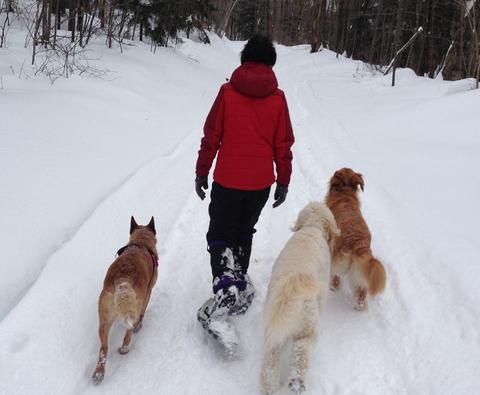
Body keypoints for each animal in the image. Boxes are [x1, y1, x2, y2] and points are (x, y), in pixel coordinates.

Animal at [90, 218, 158, 386]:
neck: (140, 244)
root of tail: (122, 283)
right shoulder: (148, 292)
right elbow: (143, 313)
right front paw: (140, 326)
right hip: (133, 308)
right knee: (129, 332)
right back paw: (125, 348)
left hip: (104, 317)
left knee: (104, 347)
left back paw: (99, 373)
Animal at [260, 203, 340, 394]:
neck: (312, 227)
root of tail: (290, 294)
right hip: (308, 330)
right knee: (300, 355)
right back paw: (297, 383)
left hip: (275, 333)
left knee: (270, 365)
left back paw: (271, 387)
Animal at [324, 169, 384, 310]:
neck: (345, 192)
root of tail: (359, 244)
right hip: (358, 271)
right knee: (362, 290)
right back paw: (360, 305)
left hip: (338, 258)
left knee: (336, 276)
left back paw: (332, 287)